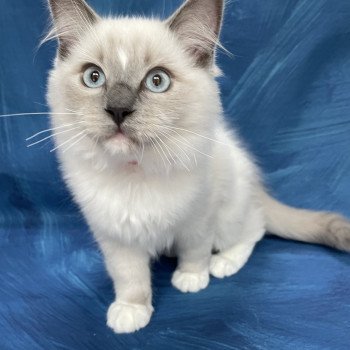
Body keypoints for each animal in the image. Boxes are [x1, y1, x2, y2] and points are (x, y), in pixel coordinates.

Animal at [45, 0, 350, 334]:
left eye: (157, 81)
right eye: (94, 77)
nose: (118, 109)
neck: (135, 171)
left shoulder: (200, 217)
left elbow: (195, 252)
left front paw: (191, 279)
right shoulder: (115, 236)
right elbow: (130, 279)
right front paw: (131, 312)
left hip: (230, 216)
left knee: (254, 229)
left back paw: (222, 264)